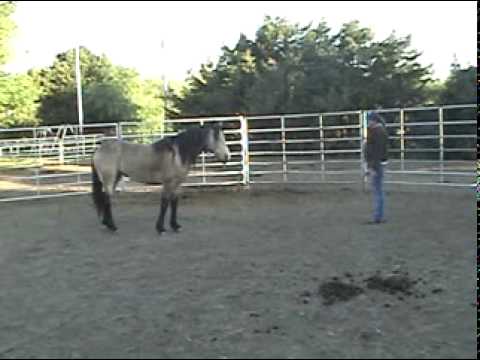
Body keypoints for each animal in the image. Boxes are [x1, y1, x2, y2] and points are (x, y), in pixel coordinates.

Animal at [92, 125, 232, 235]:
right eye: (216, 138)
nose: (227, 157)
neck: (176, 155)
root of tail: (99, 149)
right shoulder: (168, 183)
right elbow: (165, 203)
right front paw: (161, 228)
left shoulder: (177, 183)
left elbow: (174, 202)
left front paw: (175, 226)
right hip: (109, 178)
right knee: (107, 199)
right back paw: (112, 226)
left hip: (116, 177)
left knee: (105, 198)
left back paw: (106, 224)